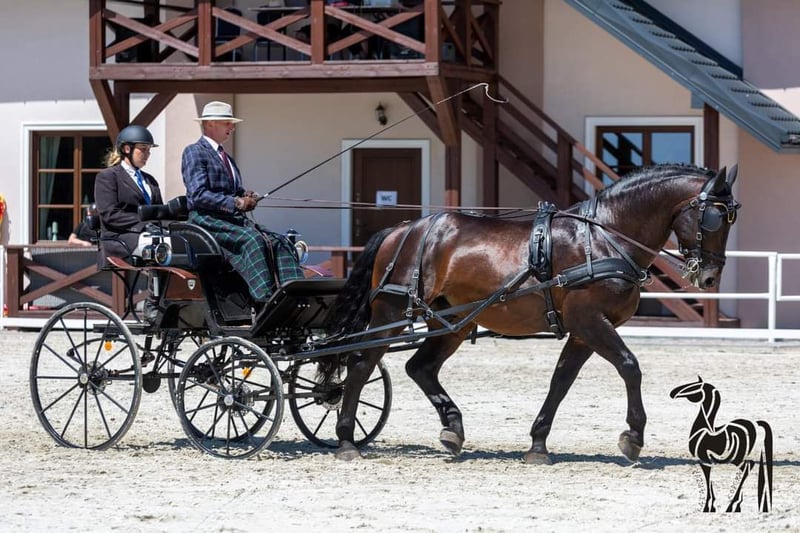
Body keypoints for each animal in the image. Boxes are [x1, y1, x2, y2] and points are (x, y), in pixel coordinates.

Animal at [322, 164, 740, 464]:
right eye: (714, 218)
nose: (709, 276)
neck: (604, 238)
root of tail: (403, 228)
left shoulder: (582, 330)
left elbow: (561, 381)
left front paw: (538, 443)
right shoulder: (591, 321)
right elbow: (629, 366)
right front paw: (633, 436)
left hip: (452, 323)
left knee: (419, 367)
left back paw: (452, 429)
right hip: (389, 314)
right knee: (361, 364)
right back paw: (346, 440)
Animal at [670, 376, 772, 512]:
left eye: (693, 386)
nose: (672, 393)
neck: (704, 427)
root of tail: (753, 424)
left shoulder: (705, 459)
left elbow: (708, 478)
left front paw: (708, 506)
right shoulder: (705, 460)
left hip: (736, 458)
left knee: (746, 467)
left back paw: (733, 503)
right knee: (748, 466)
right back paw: (736, 503)